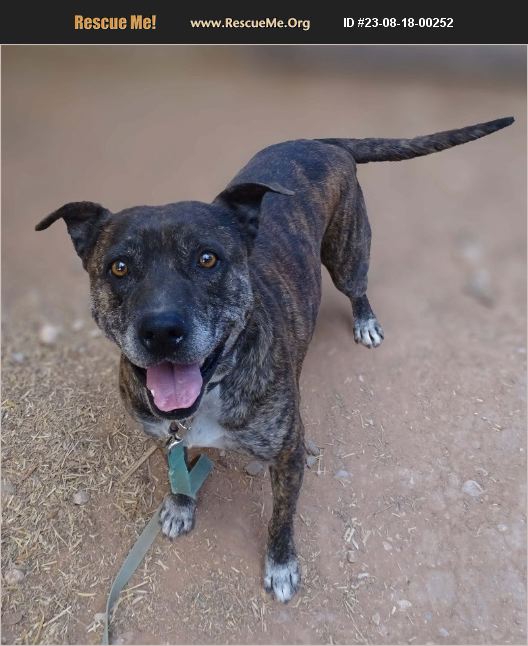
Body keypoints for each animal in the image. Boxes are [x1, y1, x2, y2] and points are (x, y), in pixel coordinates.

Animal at [36, 117, 513, 602]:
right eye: (119, 267)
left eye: (207, 259)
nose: (162, 331)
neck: (211, 391)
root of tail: (320, 142)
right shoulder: (165, 433)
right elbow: (177, 468)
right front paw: (181, 504)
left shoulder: (288, 454)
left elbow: (281, 517)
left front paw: (281, 565)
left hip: (347, 252)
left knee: (357, 286)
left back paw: (365, 321)